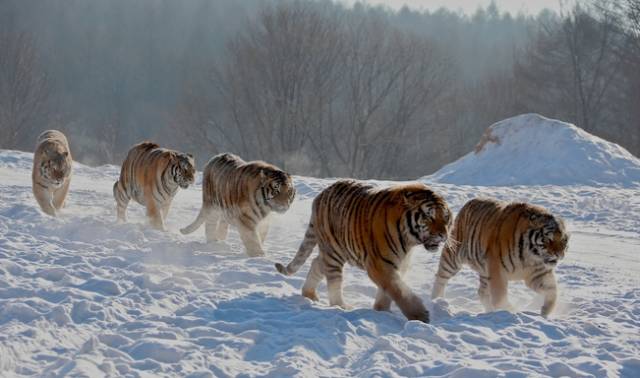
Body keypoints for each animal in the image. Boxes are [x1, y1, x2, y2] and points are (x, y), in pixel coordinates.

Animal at [274, 180, 450, 322]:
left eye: (446, 217)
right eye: (428, 216)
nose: (444, 235)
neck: (409, 241)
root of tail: (320, 195)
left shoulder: (399, 264)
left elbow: (390, 289)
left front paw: (381, 310)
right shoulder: (379, 264)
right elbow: (398, 290)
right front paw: (420, 315)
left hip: (334, 250)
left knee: (317, 262)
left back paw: (309, 294)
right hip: (333, 252)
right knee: (333, 282)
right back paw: (341, 306)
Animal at [432, 196, 568, 318]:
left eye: (563, 240)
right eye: (548, 239)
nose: (559, 254)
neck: (530, 256)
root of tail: (468, 203)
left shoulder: (538, 273)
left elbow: (552, 291)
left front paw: (545, 311)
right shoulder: (497, 270)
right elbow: (500, 297)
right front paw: (511, 311)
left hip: (484, 271)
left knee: (482, 292)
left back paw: (489, 312)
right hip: (453, 257)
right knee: (440, 277)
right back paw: (436, 301)